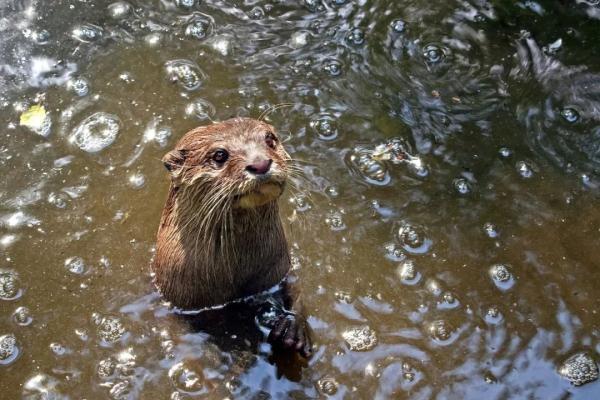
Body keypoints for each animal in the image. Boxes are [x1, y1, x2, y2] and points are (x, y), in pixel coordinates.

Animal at [150, 116, 312, 356]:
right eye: (219, 155)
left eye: (270, 139)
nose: (260, 163)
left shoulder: (281, 269)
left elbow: (297, 291)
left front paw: (293, 328)